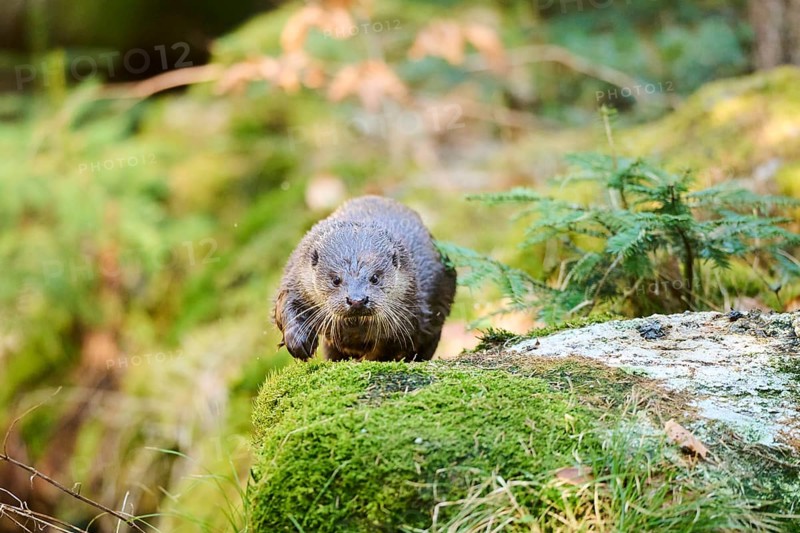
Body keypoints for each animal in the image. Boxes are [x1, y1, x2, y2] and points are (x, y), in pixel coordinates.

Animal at [273, 196, 456, 362]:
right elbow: (285, 306)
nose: (357, 300)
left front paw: (364, 360)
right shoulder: (295, 278)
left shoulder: (409, 316)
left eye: (375, 278)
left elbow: (389, 347)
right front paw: (299, 341)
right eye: (336, 280)